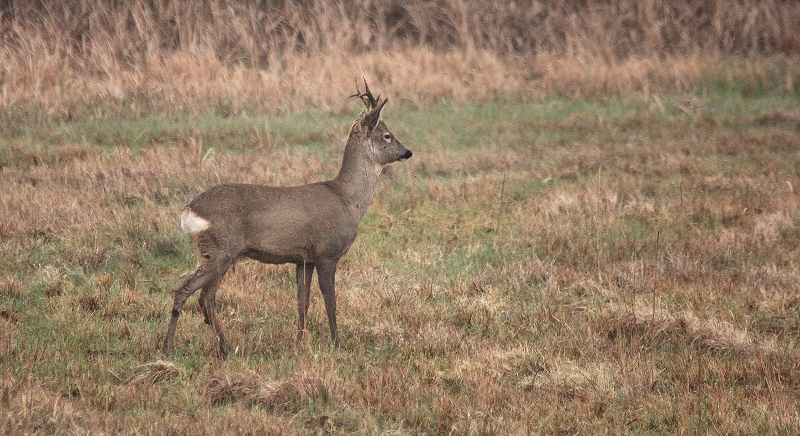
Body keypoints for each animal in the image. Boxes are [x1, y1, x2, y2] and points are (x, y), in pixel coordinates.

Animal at [162, 81, 412, 358]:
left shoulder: (303, 259)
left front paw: (300, 342)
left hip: (221, 254)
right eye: (387, 135)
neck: (348, 198)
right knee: (186, 290)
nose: (408, 152)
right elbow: (331, 303)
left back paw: (224, 347)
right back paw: (169, 348)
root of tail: (189, 210)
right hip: (219, 250)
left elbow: (302, 302)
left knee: (206, 296)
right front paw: (337, 345)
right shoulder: (327, 253)